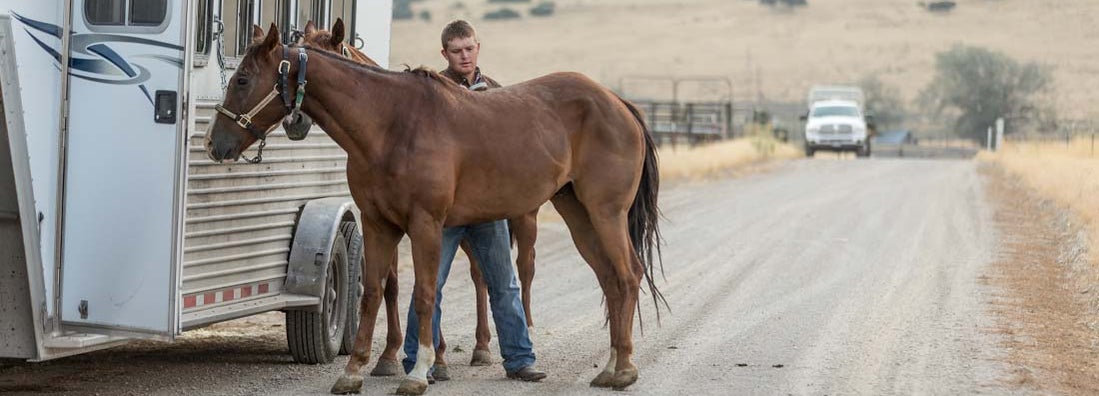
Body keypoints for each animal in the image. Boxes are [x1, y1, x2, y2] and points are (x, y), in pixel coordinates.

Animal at [206, 23, 659, 393]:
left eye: (243, 79)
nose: (215, 144)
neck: (392, 124)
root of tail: (618, 102)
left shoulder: (425, 224)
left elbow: (424, 295)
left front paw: (419, 372)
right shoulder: (378, 225)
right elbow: (374, 293)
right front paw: (353, 372)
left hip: (604, 214)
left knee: (626, 275)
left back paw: (623, 369)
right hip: (579, 216)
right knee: (610, 280)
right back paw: (611, 365)